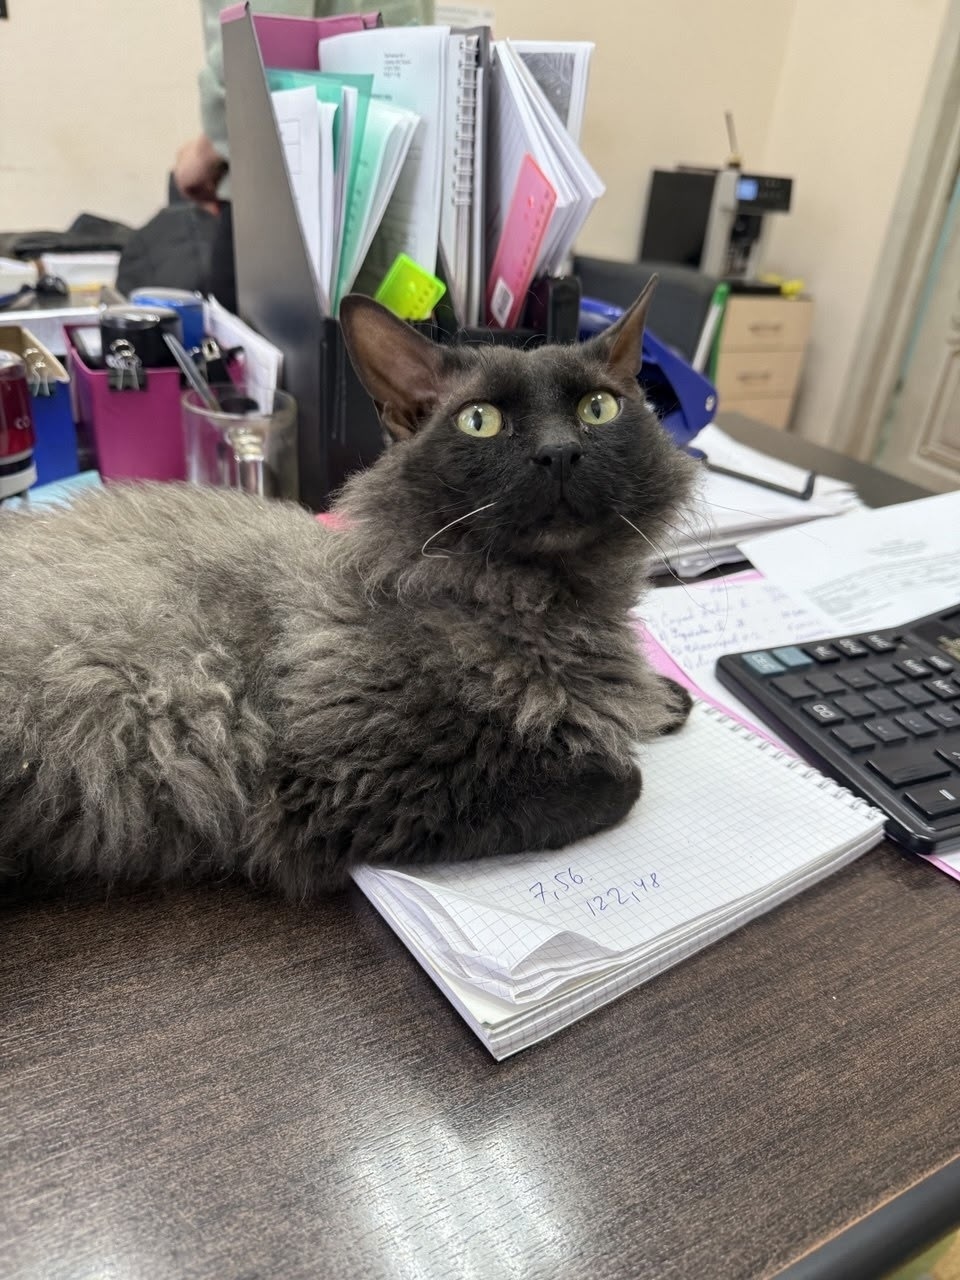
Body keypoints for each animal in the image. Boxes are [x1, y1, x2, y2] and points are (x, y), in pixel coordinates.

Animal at [0, 279, 696, 899]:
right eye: (481, 421)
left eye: (598, 409)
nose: (558, 453)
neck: (539, 606)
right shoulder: (357, 785)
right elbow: (605, 780)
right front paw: (620, 744)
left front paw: (663, 696)